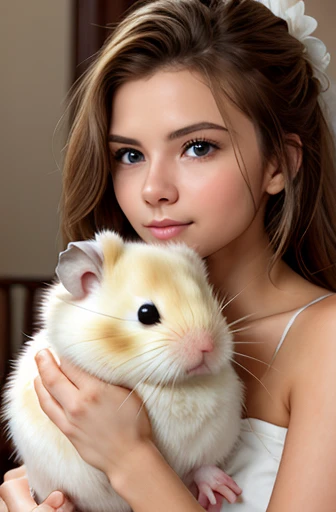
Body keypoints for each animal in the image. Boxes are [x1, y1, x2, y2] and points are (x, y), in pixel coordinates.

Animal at [3, 231, 243, 512]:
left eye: (208, 298)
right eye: (146, 313)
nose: (207, 346)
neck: (172, 385)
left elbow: (200, 466)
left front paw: (222, 490)